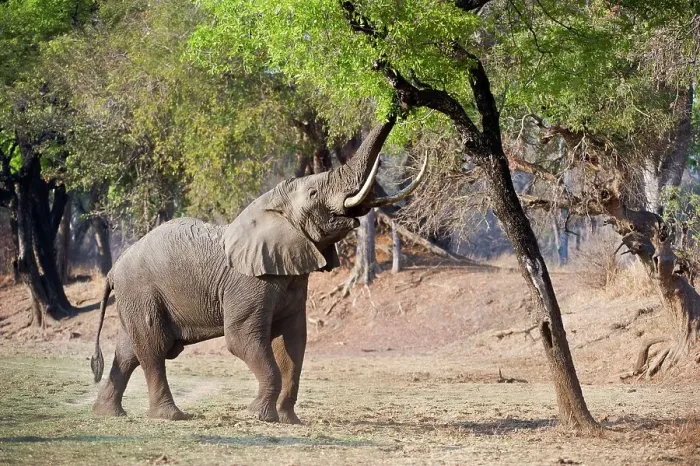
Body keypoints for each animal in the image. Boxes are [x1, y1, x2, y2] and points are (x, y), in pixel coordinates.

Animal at [89, 113, 428, 424]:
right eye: (313, 194)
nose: (400, 102)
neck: (271, 208)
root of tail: (113, 269)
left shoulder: (292, 279)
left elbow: (293, 343)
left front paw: (289, 420)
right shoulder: (250, 281)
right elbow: (243, 339)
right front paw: (259, 416)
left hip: (136, 297)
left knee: (128, 351)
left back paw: (108, 413)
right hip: (142, 290)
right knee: (153, 348)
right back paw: (171, 417)